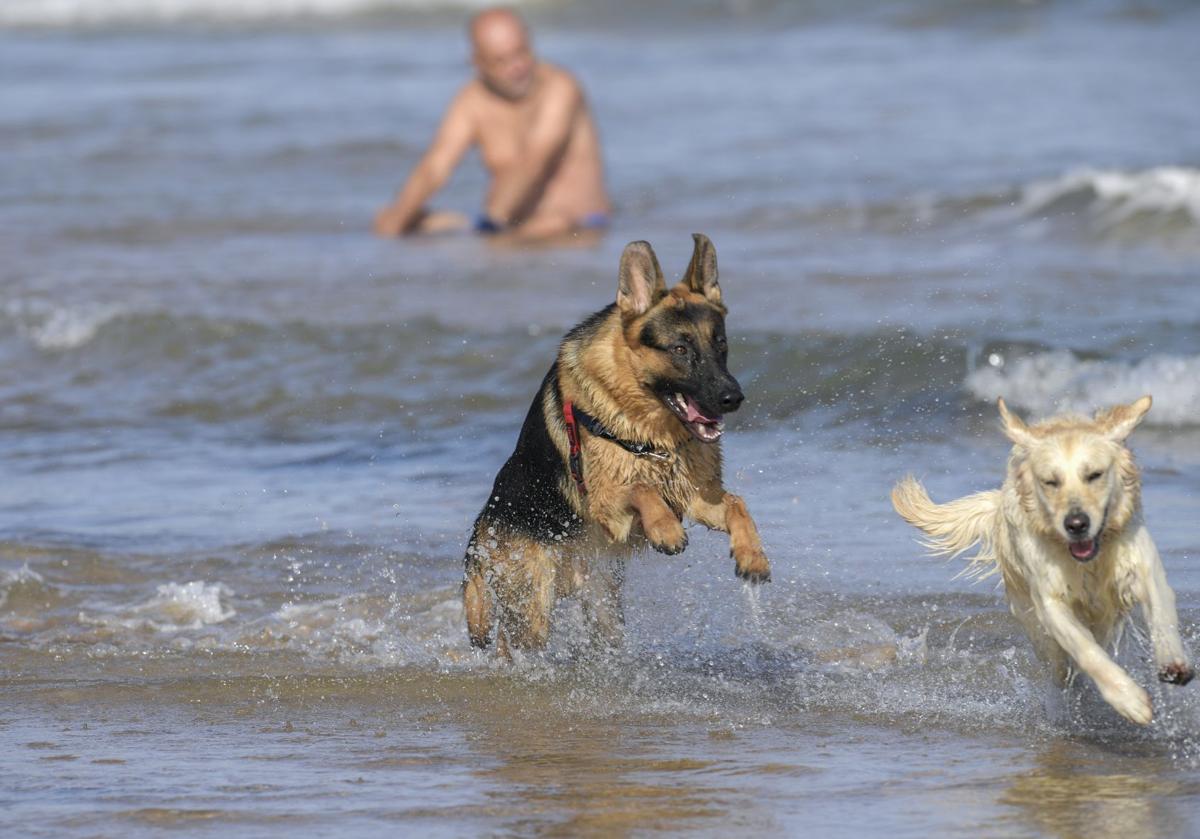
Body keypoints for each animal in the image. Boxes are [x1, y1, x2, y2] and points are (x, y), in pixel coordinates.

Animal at [458, 232, 768, 657]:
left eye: (720, 344)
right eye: (680, 349)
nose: (732, 398)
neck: (650, 430)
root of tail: (480, 533)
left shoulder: (695, 496)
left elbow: (737, 503)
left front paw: (753, 555)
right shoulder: (607, 504)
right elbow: (639, 487)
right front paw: (665, 529)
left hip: (601, 600)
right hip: (533, 606)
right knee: (513, 642)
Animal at [892, 396, 1190, 724]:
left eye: (1094, 475)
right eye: (1050, 482)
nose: (1076, 524)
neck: (1088, 562)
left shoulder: (1141, 564)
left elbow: (1162, 614)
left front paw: (1173, 663)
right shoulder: (1049, 601)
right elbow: (1086, 651)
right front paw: (1129, 699)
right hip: (1035, 625)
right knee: (1062, 670)